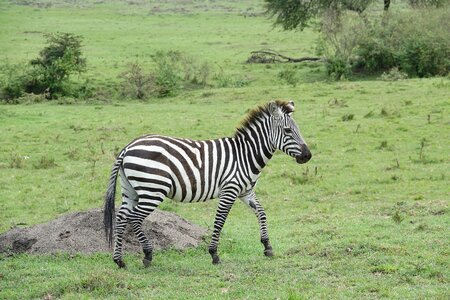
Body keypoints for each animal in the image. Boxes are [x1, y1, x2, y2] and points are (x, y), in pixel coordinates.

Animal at [103, 99, 312, 268]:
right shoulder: (230, 190)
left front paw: (267, 246)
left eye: (298, 129)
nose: (307, 156)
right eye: (287, 130)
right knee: (134, 218)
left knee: (121, 217)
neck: (245, 155)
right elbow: (220, 221)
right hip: (153, 190)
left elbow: (261, 213)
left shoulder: (246, 192)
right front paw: (214, 254)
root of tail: (127, 147)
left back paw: (119, 260)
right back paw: (147, 255)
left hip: (131, 190)